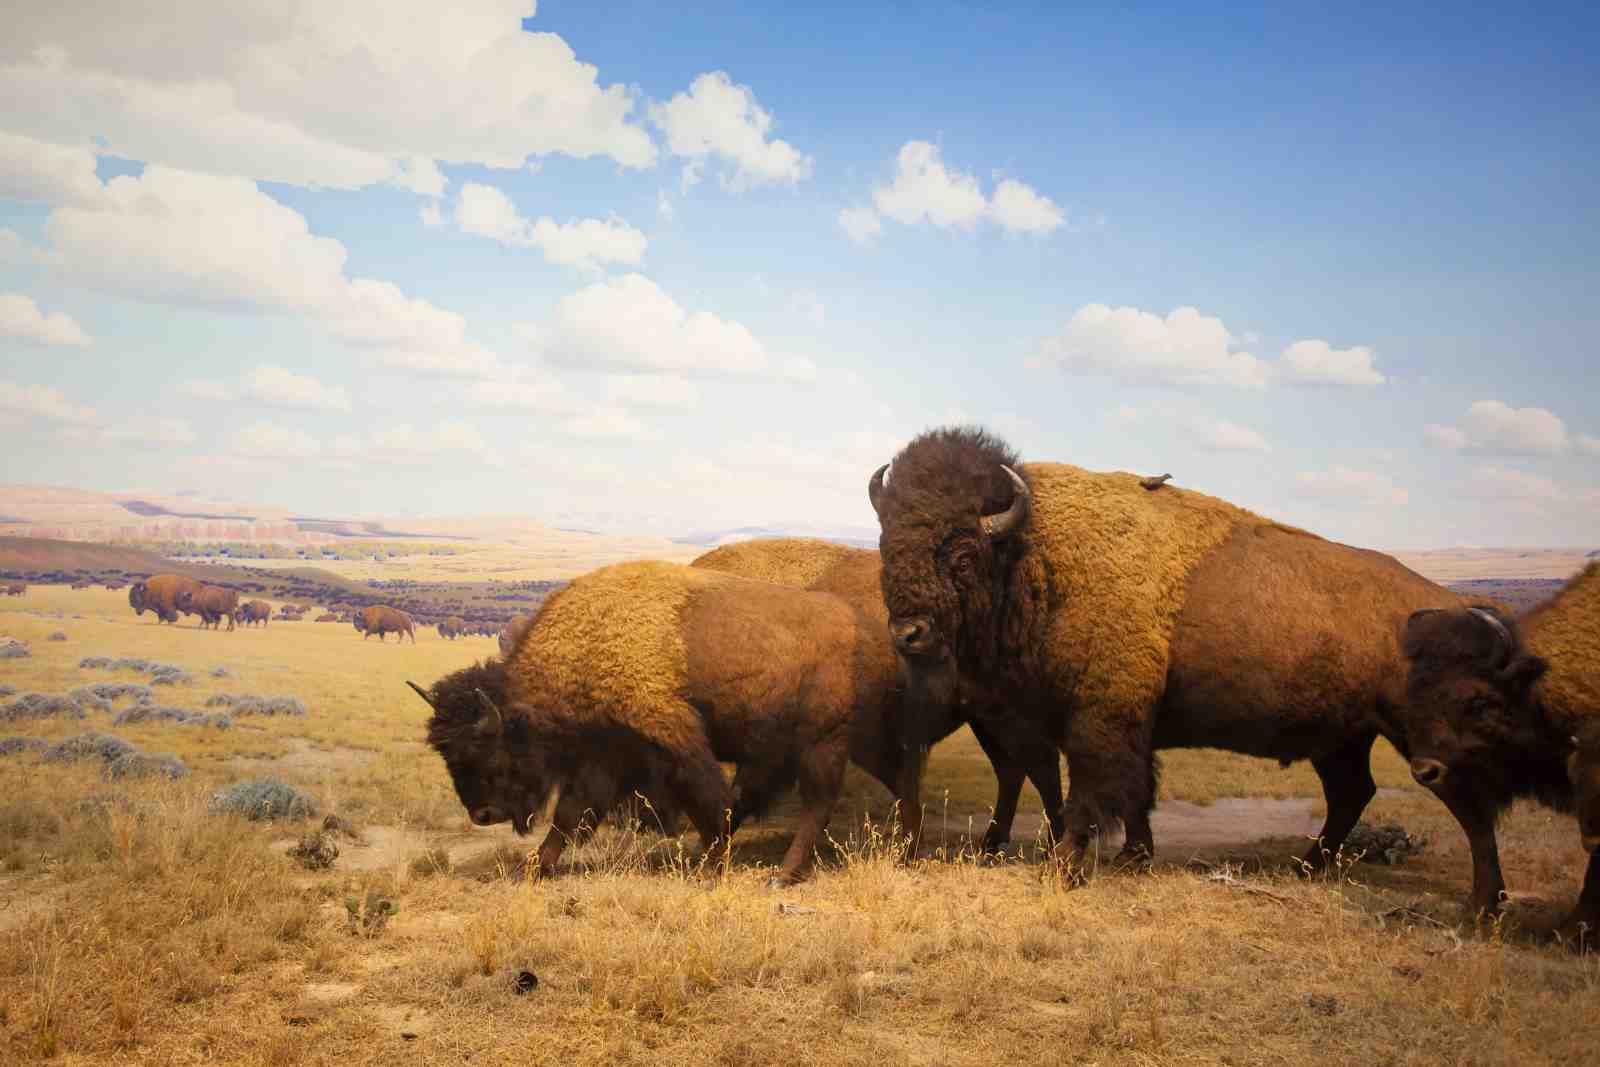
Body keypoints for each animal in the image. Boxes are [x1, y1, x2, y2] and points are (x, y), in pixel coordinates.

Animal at [868, 426, 1463, 878]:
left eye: (964, 555)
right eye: (887, 544)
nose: (909, 633)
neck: (1033, 552)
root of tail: (1442, 599)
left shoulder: (1099, 720)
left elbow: (1092, 791)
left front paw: (1067, 864)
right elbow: (1136, 793)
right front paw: (1134, 856)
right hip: (1342, 738)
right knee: (1351, 792)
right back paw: (1308, 866)